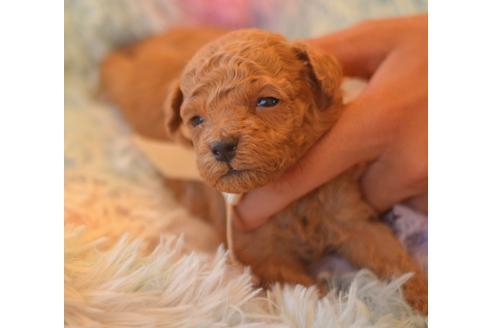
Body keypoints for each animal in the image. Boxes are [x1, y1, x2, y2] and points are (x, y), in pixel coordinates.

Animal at [100, 27, 426, 312]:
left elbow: (390, 256)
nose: (222, 146)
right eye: (196, 120)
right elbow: (304, 292)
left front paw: (420, 298)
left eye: (267, 101)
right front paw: (329, 308)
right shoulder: (260, 252)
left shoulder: (347, 212)